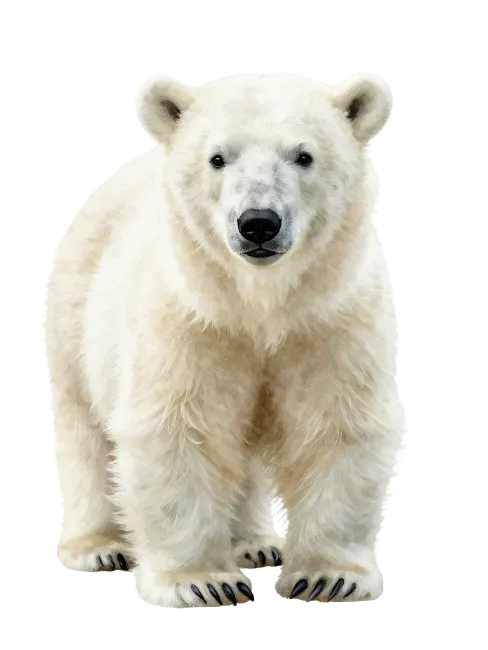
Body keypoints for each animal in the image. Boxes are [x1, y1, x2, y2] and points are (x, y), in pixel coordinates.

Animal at [45, 72, 404, 608]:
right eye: (218, 158)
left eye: (304, 155)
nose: (258, 222)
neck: (256, 304)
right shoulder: (189, 320)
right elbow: (179, 429)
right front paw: (204, 581)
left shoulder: (330, 320)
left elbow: (337, 424)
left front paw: (327, 577)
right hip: (75, 306)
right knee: (85, 429)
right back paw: (100, 548)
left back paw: (255, 544)